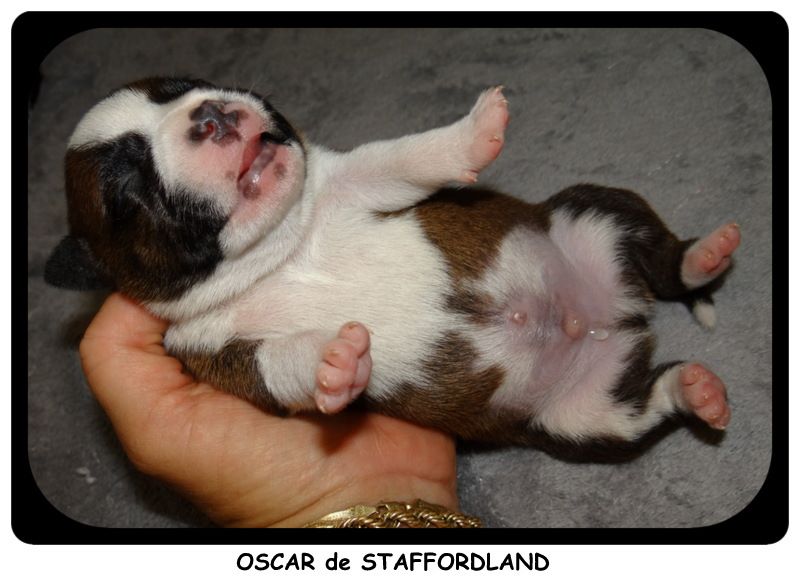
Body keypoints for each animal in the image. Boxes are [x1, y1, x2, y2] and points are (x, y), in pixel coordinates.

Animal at [46, 77, 740, 446]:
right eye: (127, 187)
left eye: (180, 86)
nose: (211, 113)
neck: (281, 252)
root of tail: (617, 319)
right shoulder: (217, 354)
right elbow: (281, 363)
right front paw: (334, 361)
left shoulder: (354, 181)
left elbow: (404, 156)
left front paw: (475, 132)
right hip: (582, 419)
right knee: (646, 404)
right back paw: (697, 389)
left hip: (590, 212)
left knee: (662, 259)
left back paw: (705, 257)